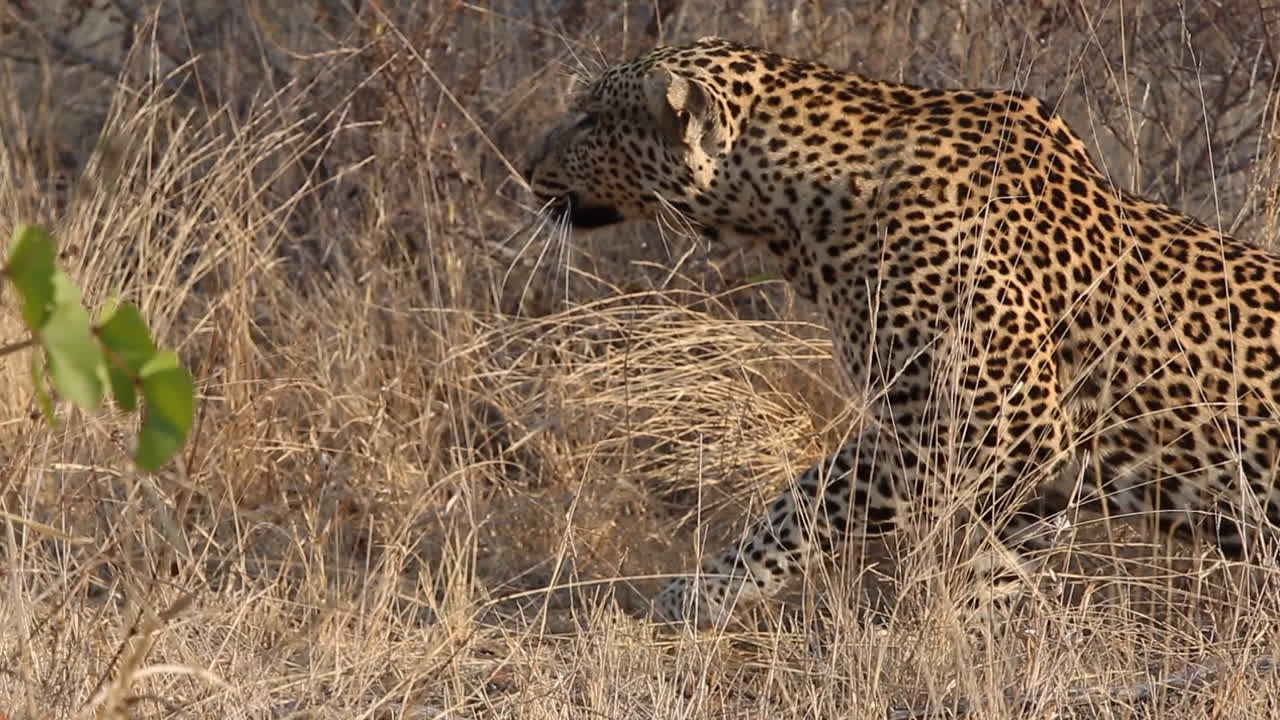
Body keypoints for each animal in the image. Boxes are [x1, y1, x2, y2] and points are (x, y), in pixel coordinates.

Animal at [524, 36, 1280, 628]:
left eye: (590, 119)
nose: (527, 167)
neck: (796, 211)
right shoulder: (1019, 471)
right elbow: (996, 565)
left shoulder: (987, 425)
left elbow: (800, 508)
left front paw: (694, 601)